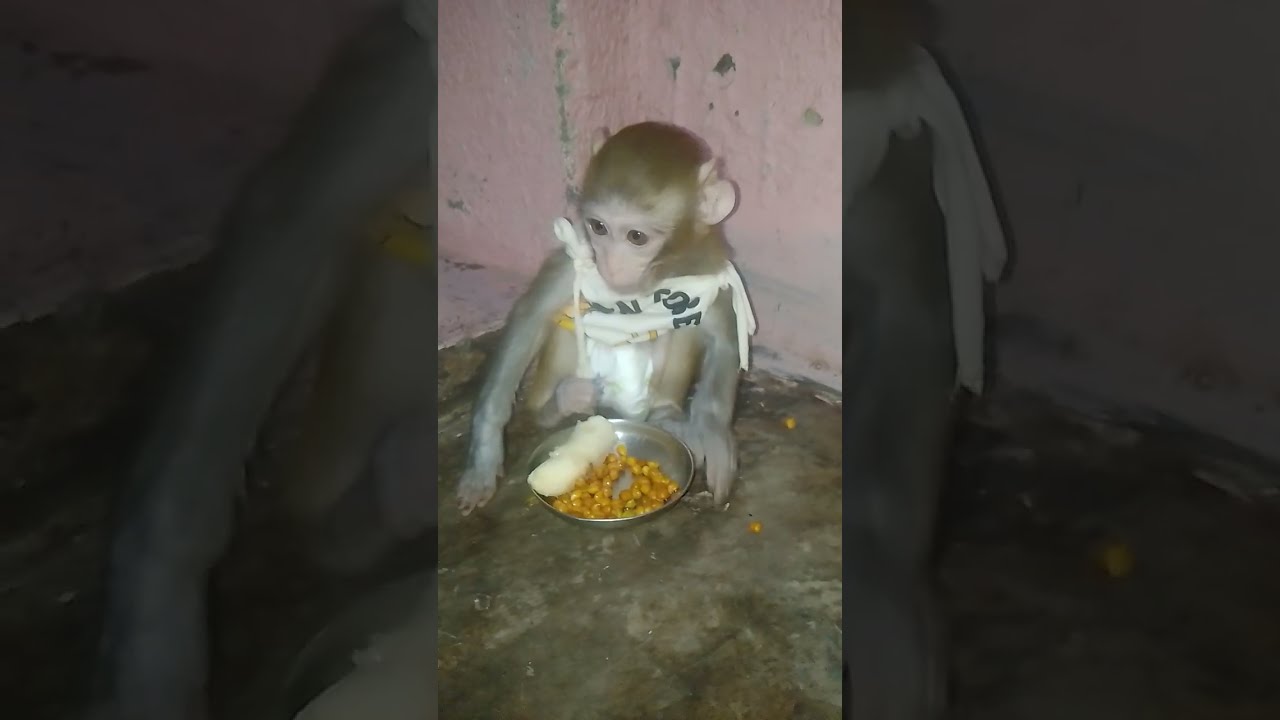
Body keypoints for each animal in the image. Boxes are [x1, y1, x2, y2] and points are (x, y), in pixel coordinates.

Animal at [454, 121, 758, 516]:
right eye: (598, 227)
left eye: (636, 236)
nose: (610, 265)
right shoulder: (570, 261)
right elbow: (529, 318)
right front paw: (484, 458)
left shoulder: (710, 271)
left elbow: (724, 338)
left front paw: (714, 434)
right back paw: (558, 407)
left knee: (681, 330)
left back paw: (667, 416)